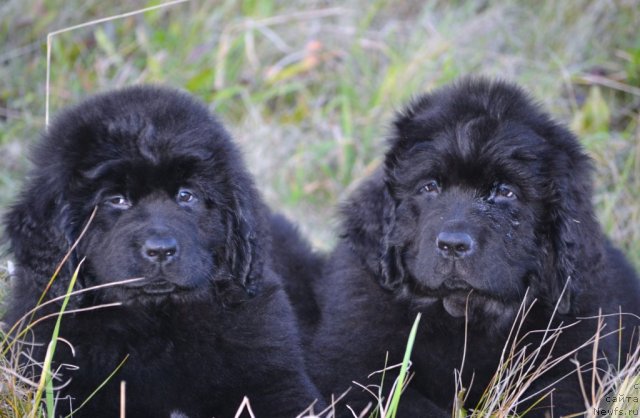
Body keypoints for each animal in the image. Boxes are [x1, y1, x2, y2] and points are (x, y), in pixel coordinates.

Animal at [308, 77, 636, 414]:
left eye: (505, 192)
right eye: (429, 187)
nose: (453, 244)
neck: (464, 312)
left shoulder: (572, 366)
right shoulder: (356, 363)